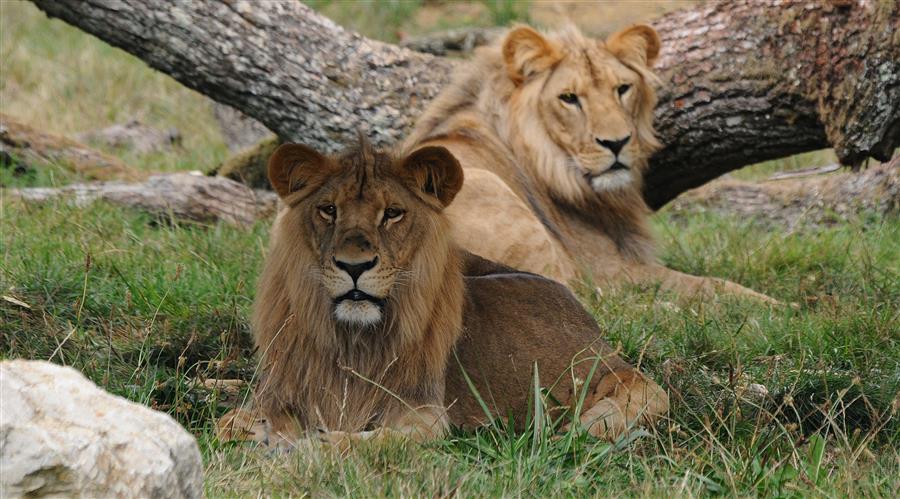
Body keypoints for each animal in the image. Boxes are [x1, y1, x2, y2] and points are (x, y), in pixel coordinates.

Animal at [216, 143, 668, 448]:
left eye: (392, 213)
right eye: (328, 210)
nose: (354, 266)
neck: (351, 340)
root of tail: (605, 346)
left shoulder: (425, 413)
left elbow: (375, 441)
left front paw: (313, 445)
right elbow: (229, 426)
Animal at [404, 23, 776, 302]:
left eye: (622, 89)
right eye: (569, 98)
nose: (616, 143)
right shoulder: (608, 268)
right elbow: (709, 284)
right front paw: (778, 307)